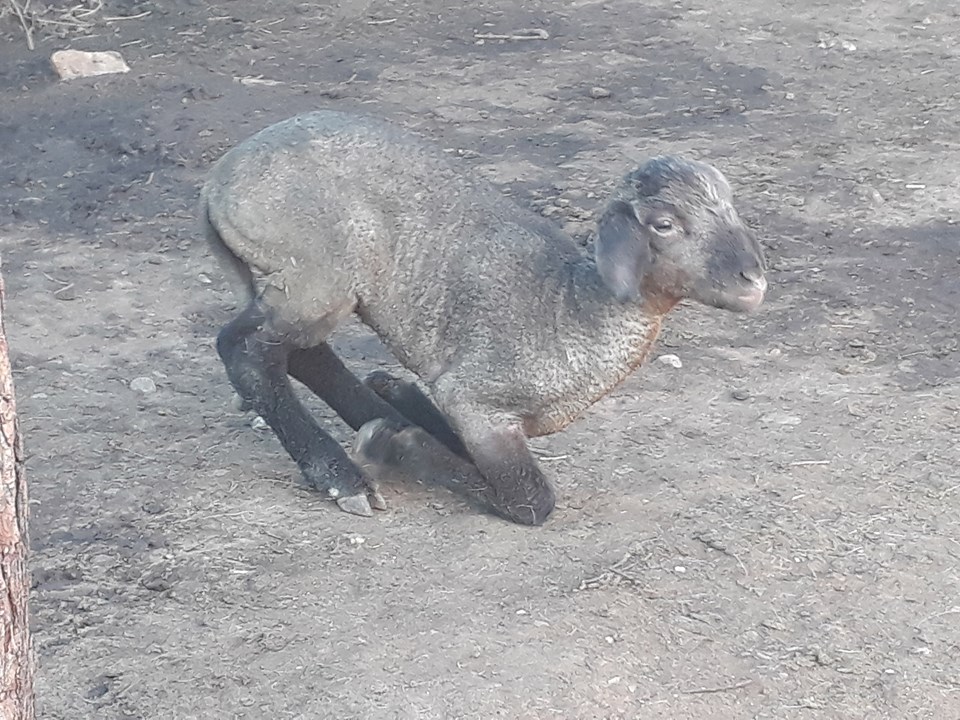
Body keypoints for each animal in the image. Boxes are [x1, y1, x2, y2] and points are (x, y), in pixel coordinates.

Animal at [202, 114, 764, 528]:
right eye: (664, 225)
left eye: (731, 207)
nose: (753, 278)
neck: (571, 306)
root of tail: (218, 183)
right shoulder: (477, 401)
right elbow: (529, 499)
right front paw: (396, 444)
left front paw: (399, 404)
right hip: (317, 271)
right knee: (244, 348)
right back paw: (342, 475)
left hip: (318, 287)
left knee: (299, 351)